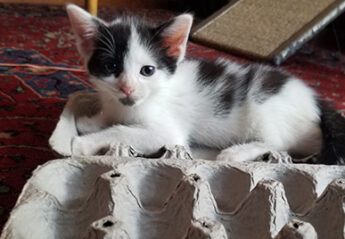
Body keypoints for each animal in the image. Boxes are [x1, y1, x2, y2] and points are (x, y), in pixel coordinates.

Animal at [51, 4, 344, 164]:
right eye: (112, 67)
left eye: (148, 71)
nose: (127, 88)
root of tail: (315, 99)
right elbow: (113, 119)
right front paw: (93, 121)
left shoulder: (167, 132)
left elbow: (123, 131)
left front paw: (85, 142)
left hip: (265, 107)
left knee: (277, 142)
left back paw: (235, 153)